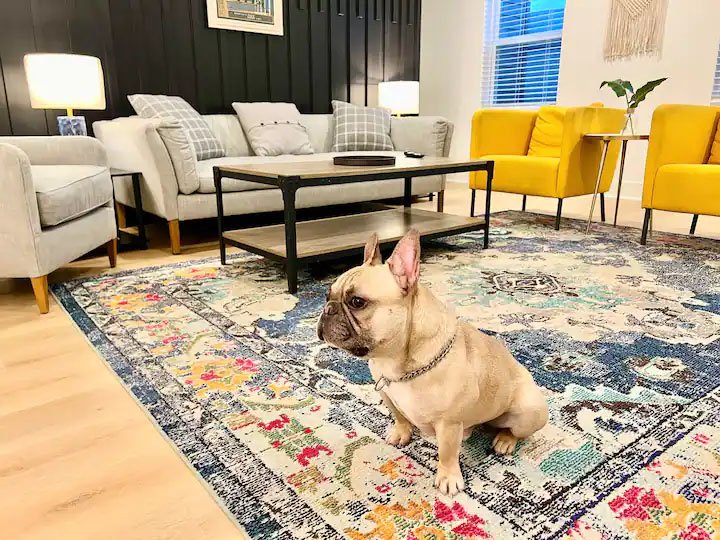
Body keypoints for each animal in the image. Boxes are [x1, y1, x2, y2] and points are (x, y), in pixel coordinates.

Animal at [317, 229, 548, 496]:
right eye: (327, 295)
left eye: (357, 302)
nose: (327, 309)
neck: (395, 362)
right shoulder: (387, 395)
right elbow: (399, 416)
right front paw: (401, 433)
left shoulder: (448, 424)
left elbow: (446, 453)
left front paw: (448, 477)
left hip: (529, 411)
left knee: (515, 431)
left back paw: (505, 441)